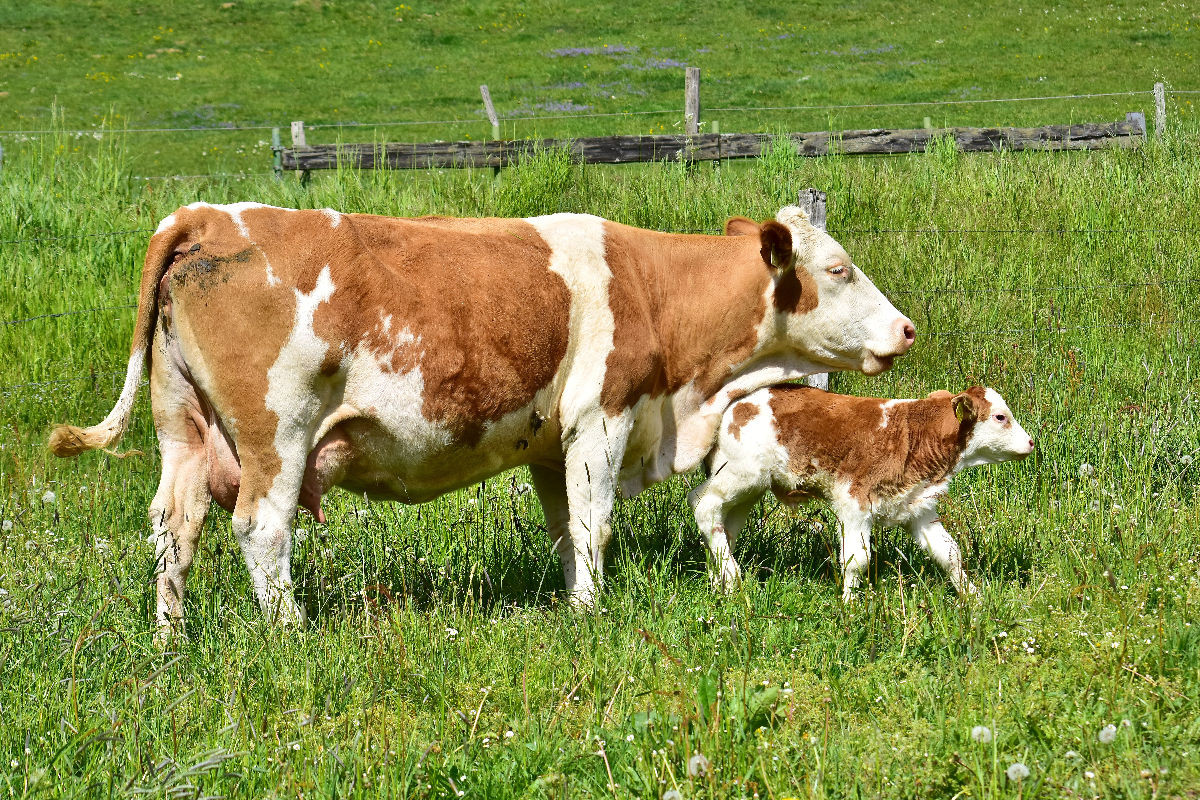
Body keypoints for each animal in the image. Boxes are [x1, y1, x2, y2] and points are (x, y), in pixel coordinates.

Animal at [44, 201, 907, 633]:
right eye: (839, 269)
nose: (905, 329)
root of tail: (205, 214)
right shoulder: (603, 417)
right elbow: (595, 523)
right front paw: (592, 613)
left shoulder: (552, 442)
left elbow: (566, 529)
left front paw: (573, 600)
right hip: (274, 435)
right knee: (261, 528)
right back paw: (290, 632)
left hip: (183, 429)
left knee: (174, 528)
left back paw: (171, 639)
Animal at [691, 386, 1036, 599]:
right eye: (1000, 417)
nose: (1031, 442)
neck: (914, 434)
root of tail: (736, 402)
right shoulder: (854, 503)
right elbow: (857, 559)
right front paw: (849, 604)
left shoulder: (919, 508)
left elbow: (949, 552)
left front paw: (973, 597)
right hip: (741, 474)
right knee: (702, 504)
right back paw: (733, 578)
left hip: (749, 489)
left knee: (725, 525)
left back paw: (718, 582)